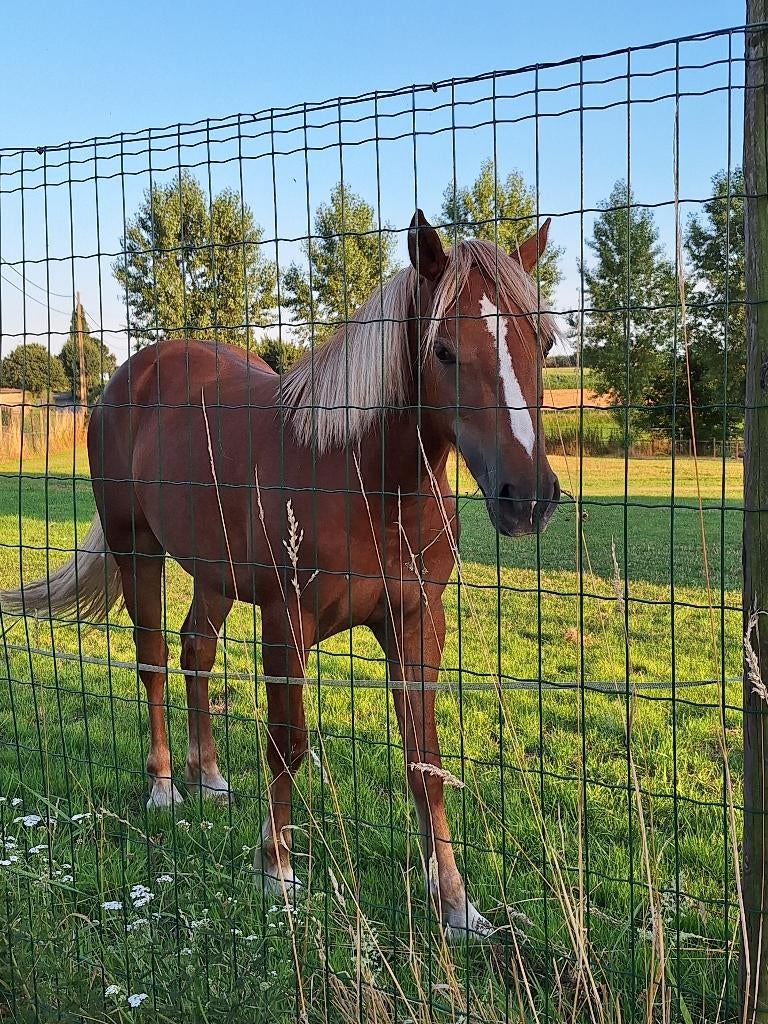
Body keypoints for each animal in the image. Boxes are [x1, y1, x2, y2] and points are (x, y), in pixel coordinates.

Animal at [1, 211, 560, 937]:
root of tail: (130, 377)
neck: (362, 479)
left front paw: (457, 905)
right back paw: (164, 786)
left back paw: (208, 777)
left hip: (213, 575)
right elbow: (287, 744)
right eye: (443, 350)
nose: (529, 498)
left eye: (543, 341)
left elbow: (426, 761)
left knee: (196, 649)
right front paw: (277, 870)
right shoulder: (286, 622)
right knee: (154, 657)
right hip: (138, 550)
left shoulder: (416, 622)